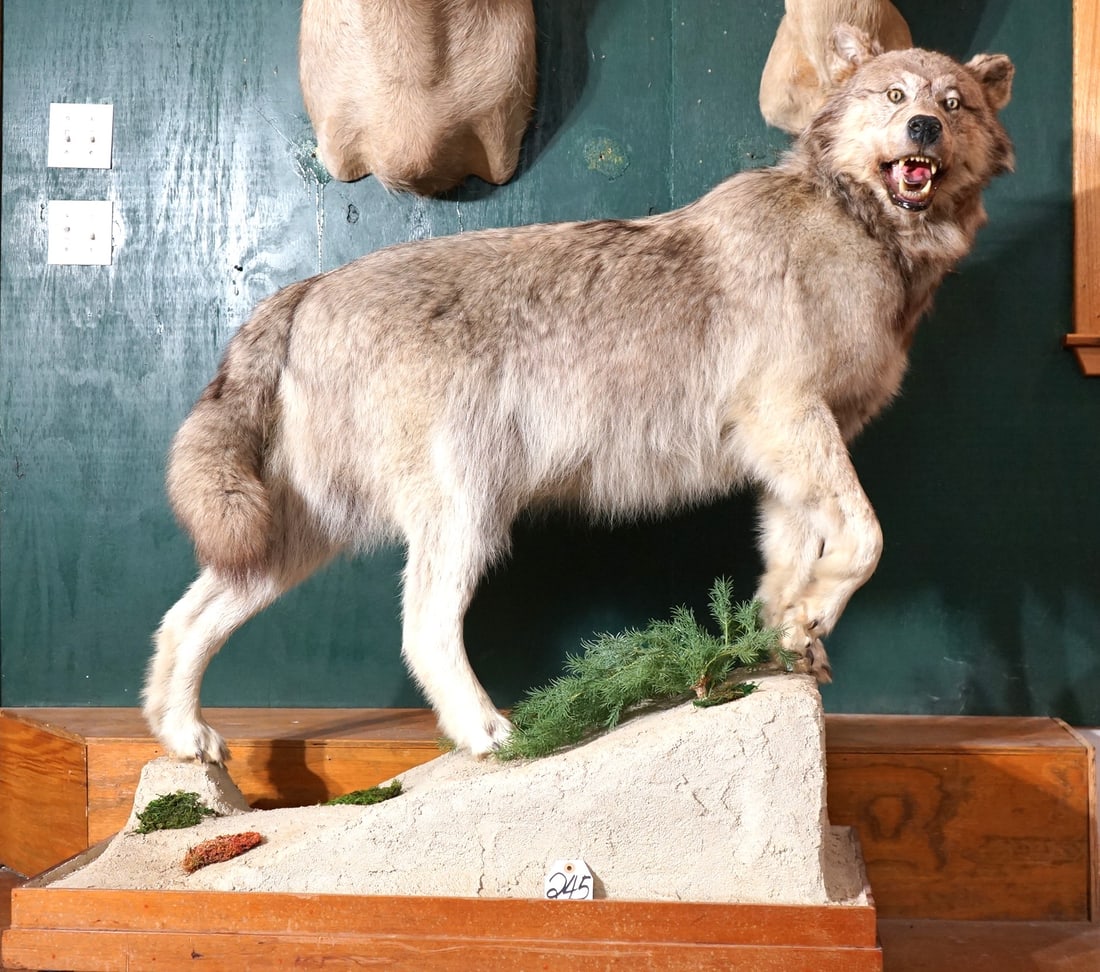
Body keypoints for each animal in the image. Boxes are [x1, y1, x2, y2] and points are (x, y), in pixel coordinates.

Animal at [144, 26, 1014, 763]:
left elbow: (786, 570)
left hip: (289, 535)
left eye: (953, 104)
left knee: (183, 621)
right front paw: (812, 619)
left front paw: (782, 647)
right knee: (422, 628)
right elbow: (867, 540)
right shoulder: (790, 419)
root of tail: (308, 288)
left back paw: (185, 737)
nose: (924, 131)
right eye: (895, 96)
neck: (858, 228)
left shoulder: (788, 456)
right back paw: (488, 732)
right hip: (465, 514)